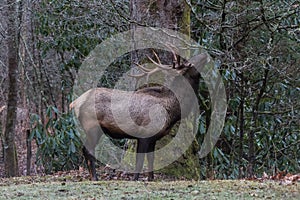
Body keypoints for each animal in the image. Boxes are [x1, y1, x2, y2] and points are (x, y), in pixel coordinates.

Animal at [70, 50, 209, 181]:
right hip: (92, 127)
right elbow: (140, 160)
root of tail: (75, 103)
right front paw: (136, 179)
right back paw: (94, 177)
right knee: (87, 150)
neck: (172, 111)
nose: (204, 54)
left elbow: (151, 158)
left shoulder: (153, 138)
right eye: (190, 64)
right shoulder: (144, 134)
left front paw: (151, 178)